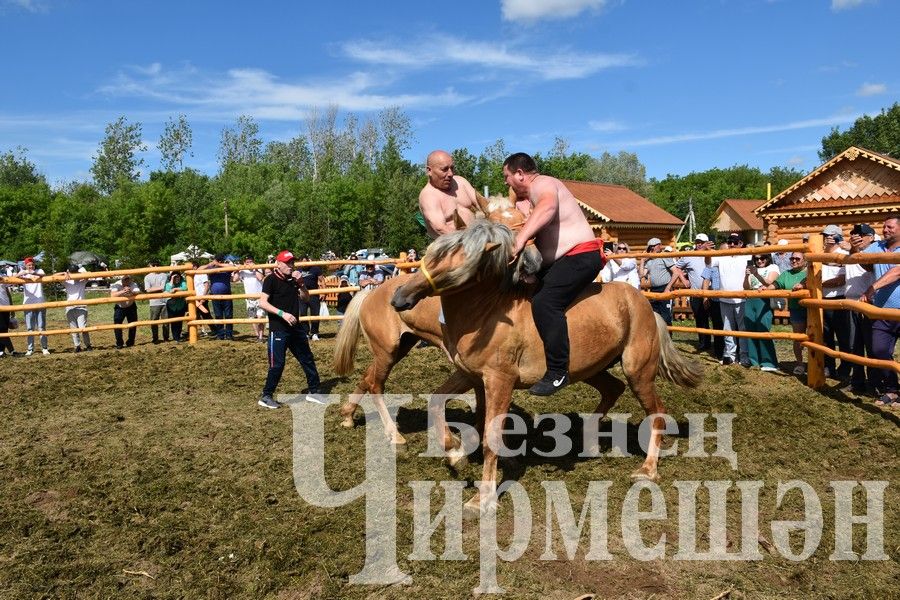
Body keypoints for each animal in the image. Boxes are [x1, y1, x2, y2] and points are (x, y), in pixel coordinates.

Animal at [388, 218, 704, 512]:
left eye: (455, 267)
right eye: (430, 255)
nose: (399, 298)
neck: (486, 313)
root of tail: (646, 305)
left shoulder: (500, 381)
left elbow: (491, 436)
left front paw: (482, 499)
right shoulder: (470, 376)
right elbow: (435, 402)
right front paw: (454, 452)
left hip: (638, 372)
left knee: (657, 412)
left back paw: (647, 470)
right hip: (589, 369)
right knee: (613, 389)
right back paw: (590, 442)